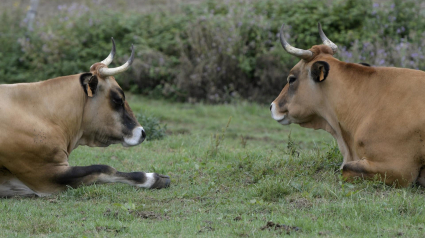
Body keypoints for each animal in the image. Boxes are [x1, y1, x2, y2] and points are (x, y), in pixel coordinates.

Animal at [0, 38, 169, 196]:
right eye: (118, 99)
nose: (142, 132)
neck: (41, 114)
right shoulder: (45, 174)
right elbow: (104, 168)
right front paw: (154, 178)